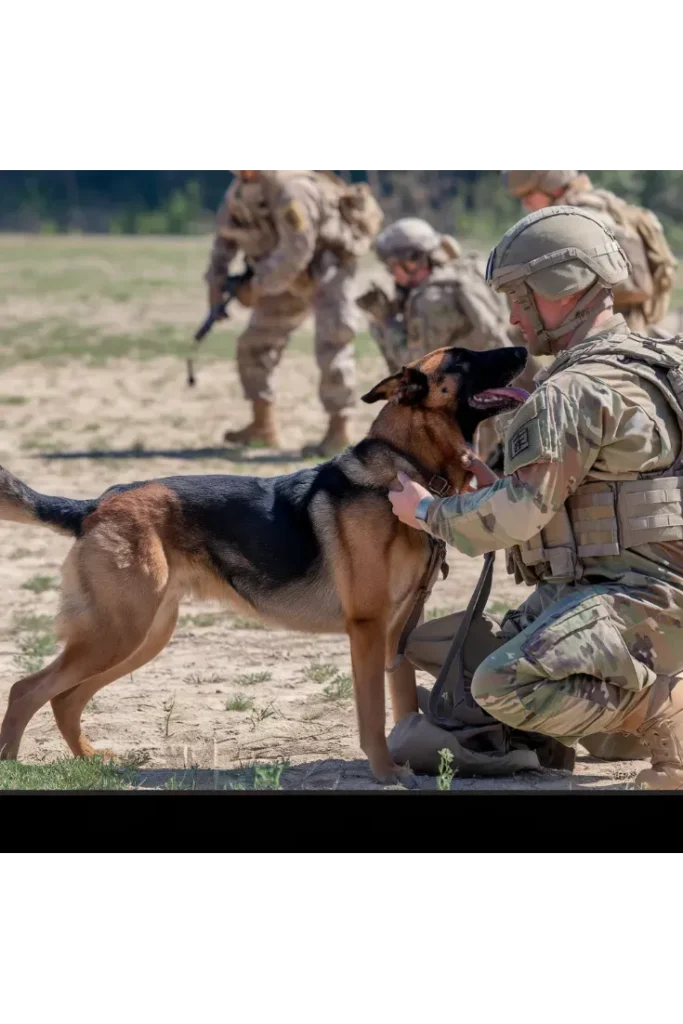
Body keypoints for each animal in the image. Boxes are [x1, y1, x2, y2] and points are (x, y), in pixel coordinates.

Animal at [0, 344, 528, 782]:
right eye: (464, 359)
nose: (522, 348)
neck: (404, 466)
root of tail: (96, 504)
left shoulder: (399, 630)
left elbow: (401, 709)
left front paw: (405, 762)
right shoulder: (369, 629)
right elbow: (374, 715)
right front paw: (385, 773)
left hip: (141, 636)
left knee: (64, 697)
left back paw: (90, 758)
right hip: (118, 633)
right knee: (27, 689)